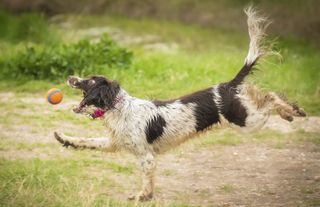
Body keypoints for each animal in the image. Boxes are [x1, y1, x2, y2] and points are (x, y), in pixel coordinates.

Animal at [53, 7, 306, 201]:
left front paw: (142, 196)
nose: (70, 77)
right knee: (265, 95)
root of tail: (227, 85)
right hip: (247, 117)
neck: (119, 107)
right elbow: (86, 141)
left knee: (271, 97)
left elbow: (146, 181)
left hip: (246, 121)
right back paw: (290, 112)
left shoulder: (146, 157)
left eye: (89, 80)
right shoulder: (114, 143)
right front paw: (63, 138)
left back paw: (293, 111)